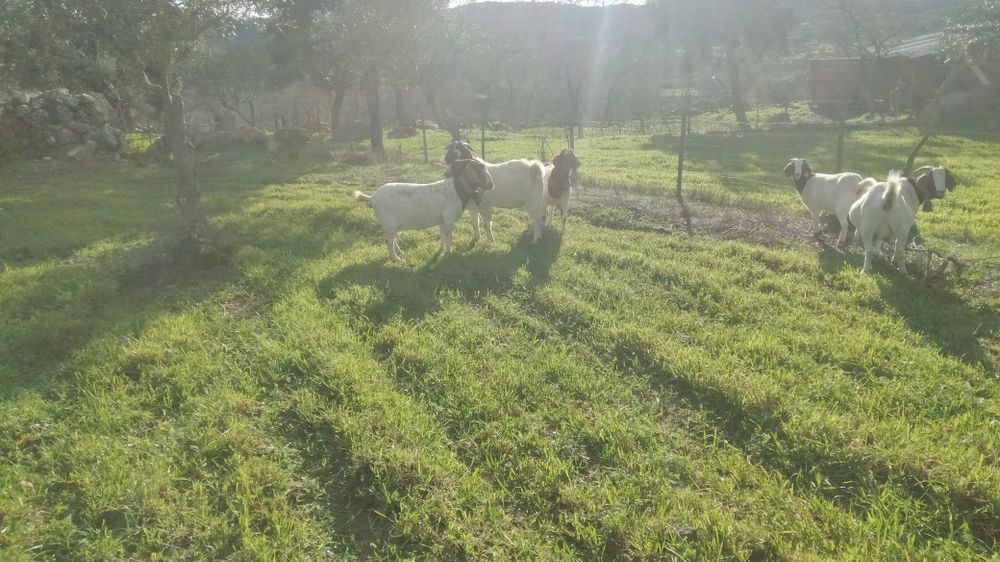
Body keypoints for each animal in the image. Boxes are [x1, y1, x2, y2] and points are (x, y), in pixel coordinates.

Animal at [352, 159, 494, 261]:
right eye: (480, 171)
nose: (491, 185)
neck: (456, 190)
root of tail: (373, 198)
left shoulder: (442, 220)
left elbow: (442, 235)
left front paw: (441, 249)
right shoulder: (448, 219)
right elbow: (449, 236)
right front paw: (449, 253)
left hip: (391, 225)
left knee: (392, 240)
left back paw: (401, 253)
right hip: (390, 223)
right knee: (388, 241)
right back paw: (396, 259)